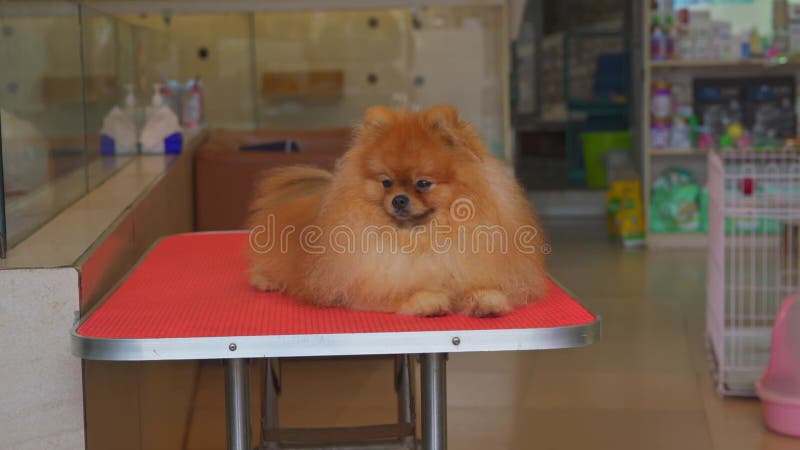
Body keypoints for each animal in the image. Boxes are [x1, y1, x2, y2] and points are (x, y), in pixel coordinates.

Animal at [248, 105, 552, 316]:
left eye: (423, 183)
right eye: (386, 182)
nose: (399, 199)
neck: (422, 237)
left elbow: (483, 286)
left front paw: (487, 300)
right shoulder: (367, 284)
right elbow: (406, 290)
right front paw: (429, 300)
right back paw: (265, 281)